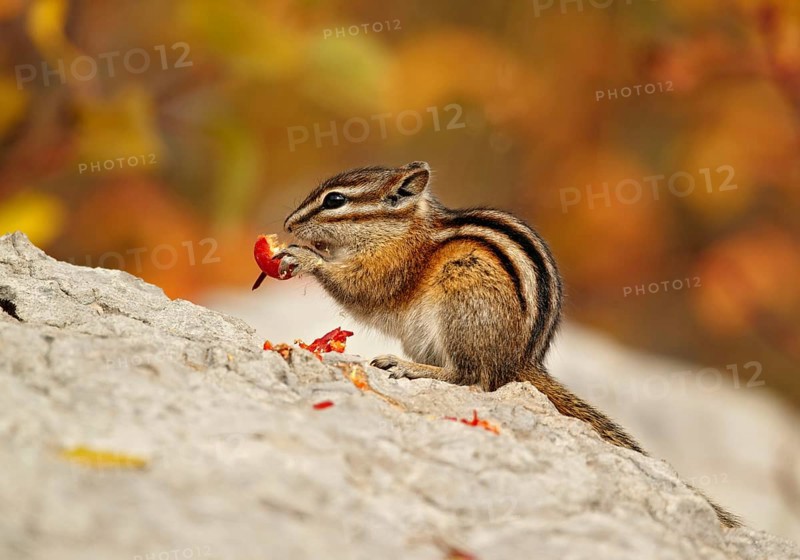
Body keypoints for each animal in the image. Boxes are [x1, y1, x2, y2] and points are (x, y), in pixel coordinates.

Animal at [278, 161, 740, 529]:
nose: (287, 225)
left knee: (472, 377)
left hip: (462, 296)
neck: (403, 230)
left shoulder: (390, 268)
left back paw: (410, 367)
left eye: (335, 200)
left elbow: (360, 289)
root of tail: (520, 362)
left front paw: (305, 257)